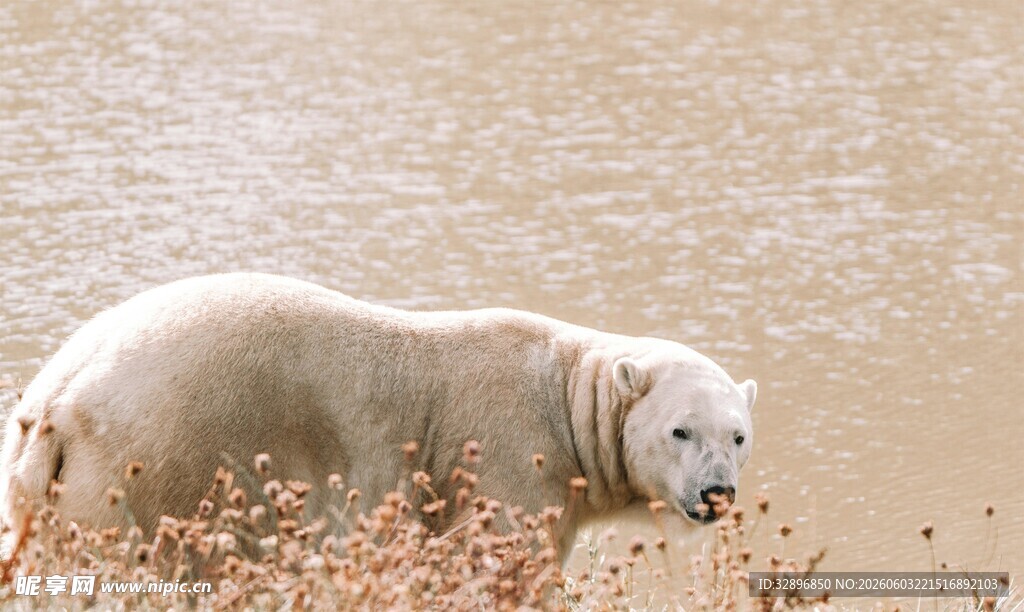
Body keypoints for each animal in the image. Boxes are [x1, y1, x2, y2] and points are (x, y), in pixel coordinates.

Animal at [0, 273, 756, 561]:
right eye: (680, 430)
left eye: (738, 436)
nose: (717, 492)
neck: (568, 392)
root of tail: (57, 400)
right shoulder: (509, 456)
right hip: (159, 461)